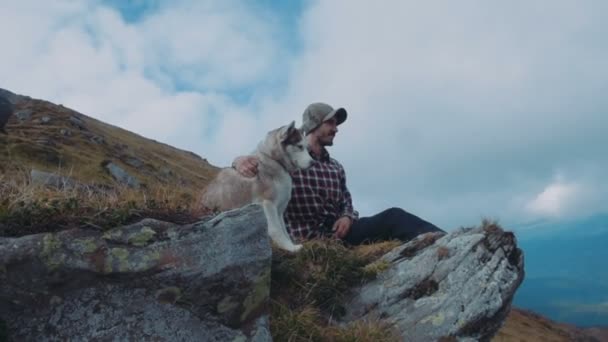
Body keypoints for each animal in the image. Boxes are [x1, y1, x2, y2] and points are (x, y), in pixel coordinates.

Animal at [202, 121, 314, 252]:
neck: (275, 161)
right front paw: (289, 247)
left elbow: (285, 230)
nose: (313, 162)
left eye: (307, 147)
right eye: (300, 146)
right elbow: (277, 230)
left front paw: (290, 244)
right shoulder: (267, 204)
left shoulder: (279, 210)